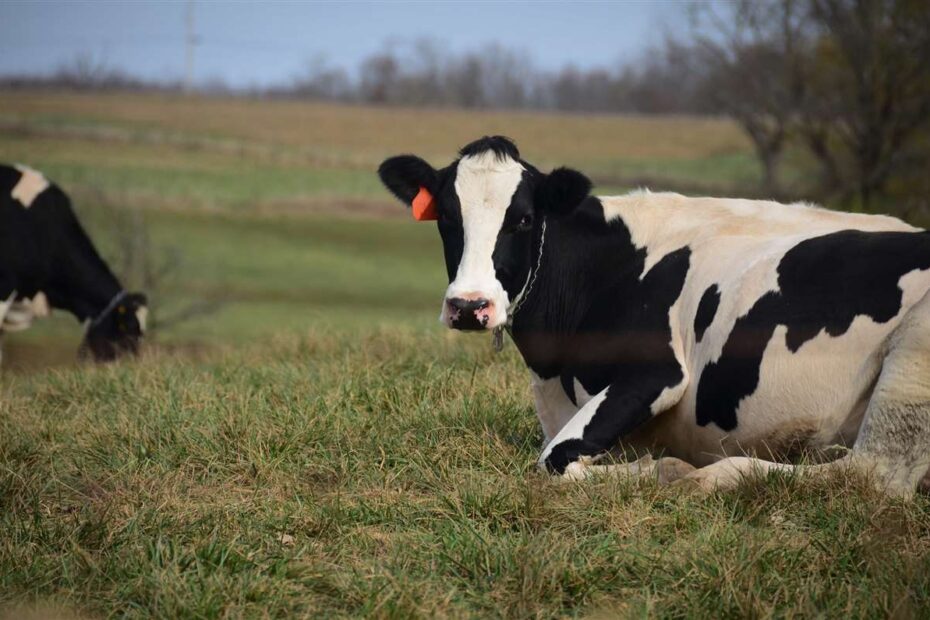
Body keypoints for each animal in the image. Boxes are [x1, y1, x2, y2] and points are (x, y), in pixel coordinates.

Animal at [378, 135, 930, 497]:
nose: (470, 306)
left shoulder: (660, 371)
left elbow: (555, 459)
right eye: (448, 217)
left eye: (524, 219)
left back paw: (713, 475)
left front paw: (663, 469)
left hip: (912, 362)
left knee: (870, 475)